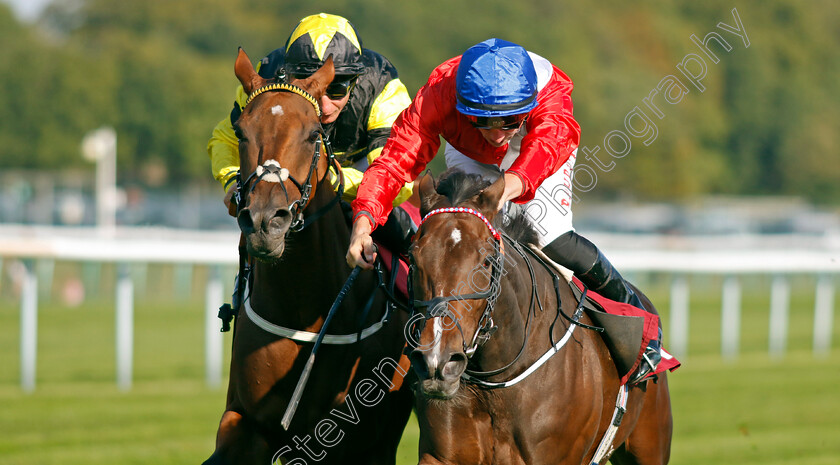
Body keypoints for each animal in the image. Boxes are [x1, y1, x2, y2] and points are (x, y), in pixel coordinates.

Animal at [203, 48, 414, 464]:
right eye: (241, 132)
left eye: (314, 134)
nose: (266, 221)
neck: (304, 310)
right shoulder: (245, 421)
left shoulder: (353, 438)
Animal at [406, 171, 676, 464]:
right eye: (412, 258)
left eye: (487, 261)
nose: (437, 362)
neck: (497, 378)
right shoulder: (440, 455)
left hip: (649, 445)